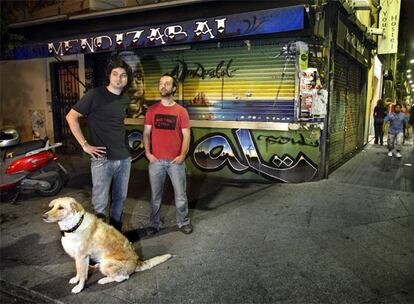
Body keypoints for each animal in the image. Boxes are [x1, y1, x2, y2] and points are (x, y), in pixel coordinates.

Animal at [42, 197, 171, 292]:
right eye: (52, 207)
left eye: (61, 208)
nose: (44, 216)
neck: (74, 226)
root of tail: (137, 263)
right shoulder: (79, 258)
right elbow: (79, 272)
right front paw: (76, 279)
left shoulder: (81, 257)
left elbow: (83, 275)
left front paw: (79, 288)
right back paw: (95, 267)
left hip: (107, 263)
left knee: (123, 277)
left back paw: (104, 280)